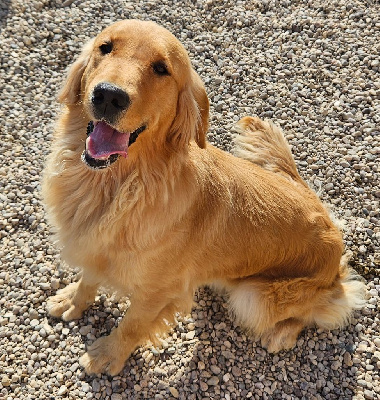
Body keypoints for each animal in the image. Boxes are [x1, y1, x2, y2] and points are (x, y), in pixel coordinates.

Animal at [43, 18, 366, 376]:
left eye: (161, 68)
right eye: (105, 47)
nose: (108, 96)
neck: (118, 186)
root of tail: (332, 231)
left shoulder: (155, 292)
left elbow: (131, 326)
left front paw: (107, 355)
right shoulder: (94, 244)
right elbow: (88, 280)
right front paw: (72, 301)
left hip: (255, 297)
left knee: (329, 307)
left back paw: (281, 334)